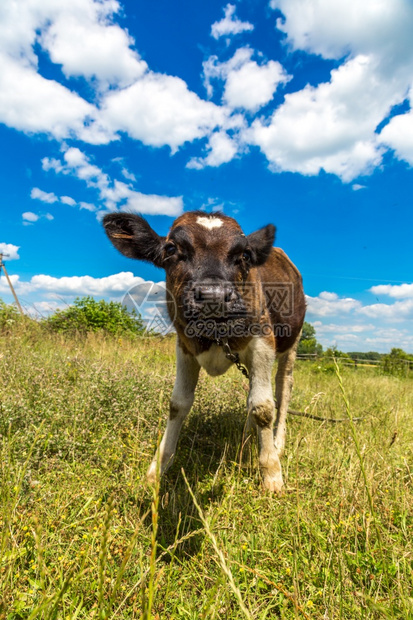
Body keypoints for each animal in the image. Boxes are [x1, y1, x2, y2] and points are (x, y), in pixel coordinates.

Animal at [102, 211, 304, 492]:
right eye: (171, 248)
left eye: (244, 255)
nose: (214, 295)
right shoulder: (184, 346)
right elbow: (178, 404)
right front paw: (157, 469)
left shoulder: (263, 340)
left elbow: (263, 406)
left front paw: (272, 474)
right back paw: (246, 437)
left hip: (291, 345)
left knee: (283, 389)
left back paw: (277, 442)